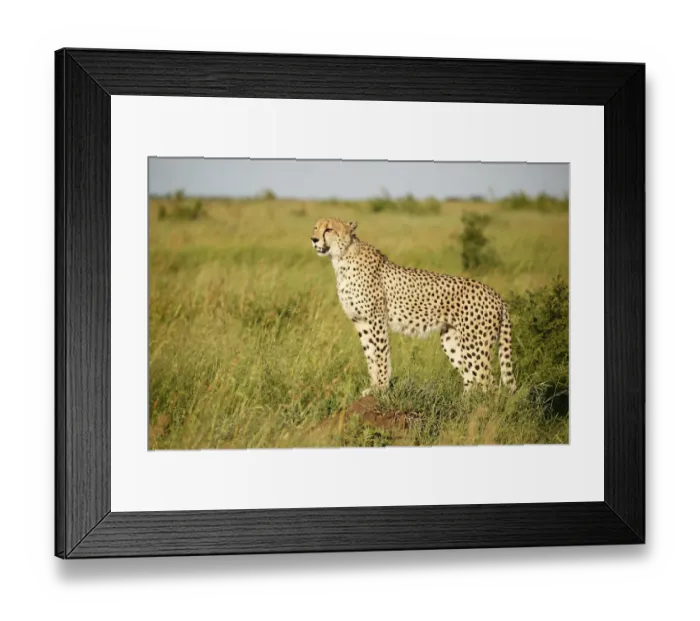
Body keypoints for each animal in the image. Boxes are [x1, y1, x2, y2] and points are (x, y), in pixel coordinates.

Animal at [310, 217, 517, 396]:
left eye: (329, 229)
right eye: (316, 227)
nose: (313, 239)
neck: (342, 258)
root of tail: (496, 295)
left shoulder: (376, 320)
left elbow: (380, 354)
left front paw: (382, 387)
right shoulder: (361, 322)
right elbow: (370, 356)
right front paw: (374, 386)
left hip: (475, 345)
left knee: (489, 382)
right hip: (452, 340)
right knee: (473, 378)